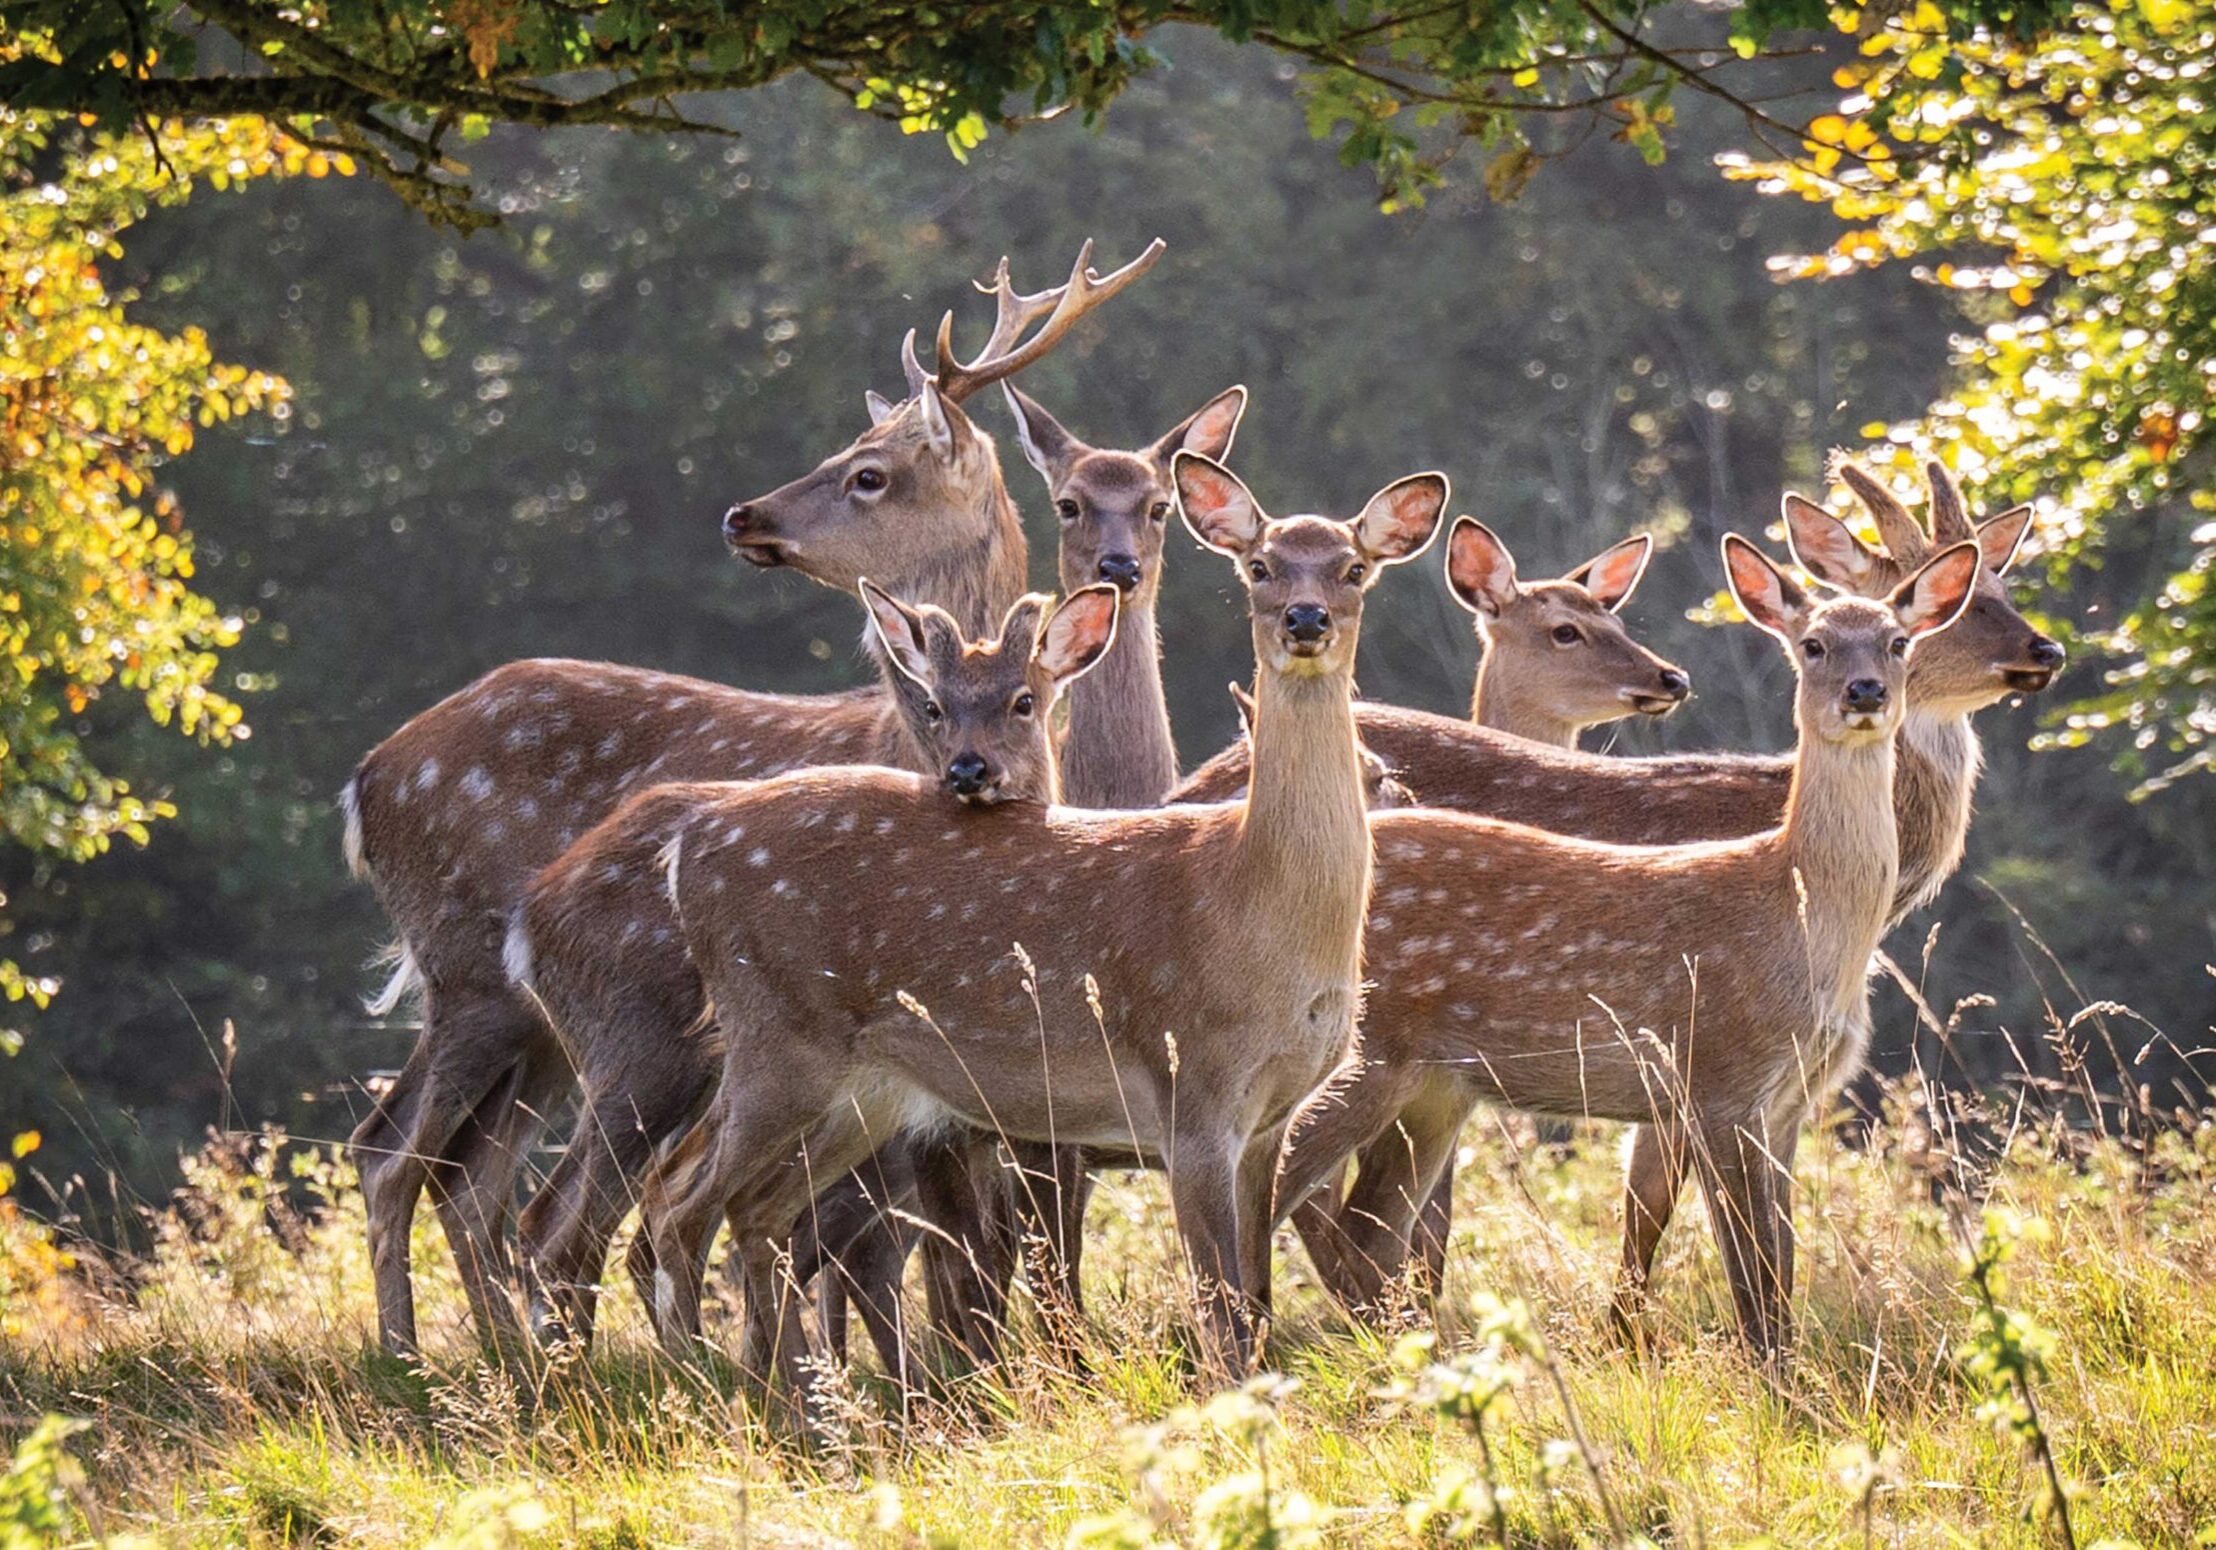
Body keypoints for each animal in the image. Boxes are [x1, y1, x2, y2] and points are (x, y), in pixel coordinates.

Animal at [507, 580, 1116, 1365]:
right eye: (934, 706)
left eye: (1023, 700)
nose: (968, 770)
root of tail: (529, 923)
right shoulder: (949, 1124)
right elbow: (981, 1260)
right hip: (649, 1054)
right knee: (599, 1223)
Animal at [624, 447, 1453, 1392]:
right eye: (1259, 566)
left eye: (1354, 568)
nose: (1305, 620)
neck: (1253, 907)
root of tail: (688, 848)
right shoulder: (1189, 1087)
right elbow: (1218, 1311)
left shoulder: (1271, 1116)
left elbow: (1255, 1301)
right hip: (777, 1037)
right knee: (682, 1205)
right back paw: (710, 1391)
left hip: (862, 1087)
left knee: (754, 1212)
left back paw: (791, 1401)